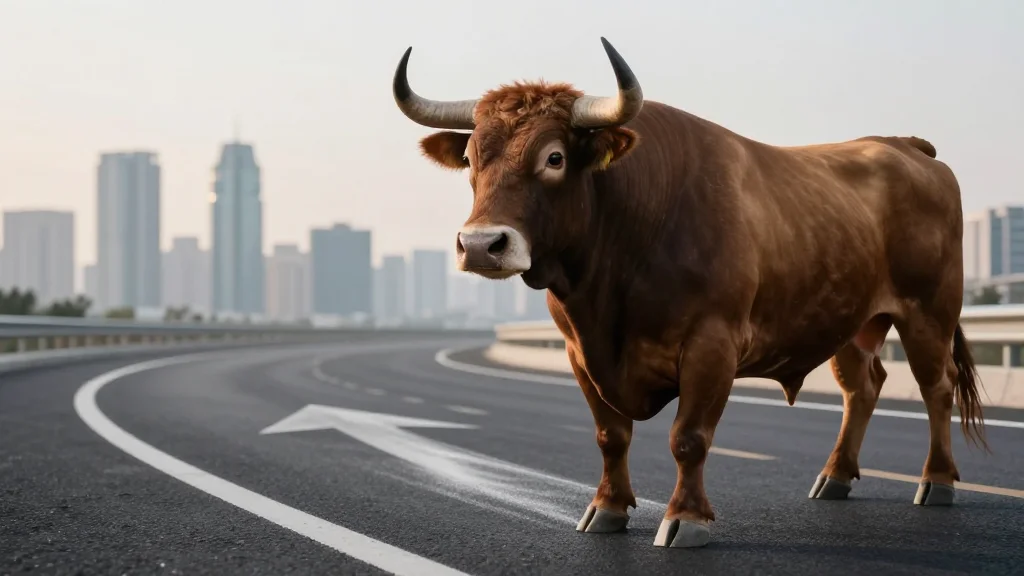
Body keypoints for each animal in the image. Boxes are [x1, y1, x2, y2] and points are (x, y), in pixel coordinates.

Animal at [392, 37, 987, 548]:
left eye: (554, 157)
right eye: (471, 159)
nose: (481, 244)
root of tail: (904, 145)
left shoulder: (712, 344)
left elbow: (689, 437)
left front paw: (686, 519)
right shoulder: (579, 352)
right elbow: (611, 435)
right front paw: (606, 509)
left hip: (929, 312)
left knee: (937, 387)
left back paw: (937, 482)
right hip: (851, 320)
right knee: (861, 386)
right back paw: (835, 477)